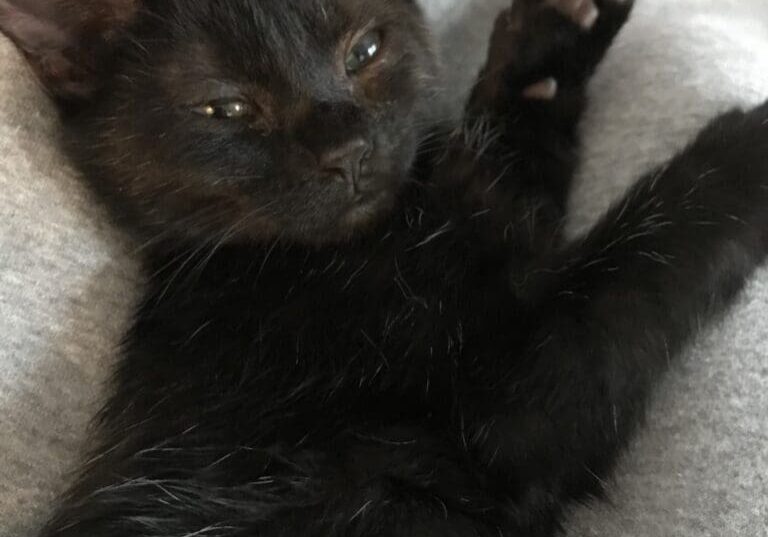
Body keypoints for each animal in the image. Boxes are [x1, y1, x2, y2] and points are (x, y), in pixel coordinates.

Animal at [1, 0, 768, 532]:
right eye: (227, 107)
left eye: (364, 49)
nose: (346, 151)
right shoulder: (512, 407)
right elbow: (645, 252)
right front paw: (747, 143)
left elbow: (515, 161)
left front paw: (553, 43)